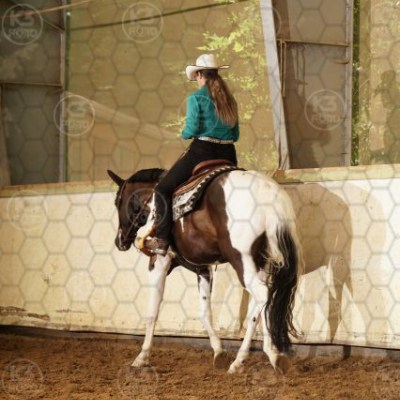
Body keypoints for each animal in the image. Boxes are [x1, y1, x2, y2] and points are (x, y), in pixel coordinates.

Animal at [108, 167, 303, 374]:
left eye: (117, 201)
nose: (119, 241)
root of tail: (267, 190)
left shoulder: (159, 261)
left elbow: (153, 311)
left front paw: (141, 357)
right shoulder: (203, 269)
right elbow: (204, 312)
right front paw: (219, 352)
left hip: (241, 260)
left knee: (262, 295)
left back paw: (256, 357)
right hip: (262, 263)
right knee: (261, 302)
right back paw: (257, 358)